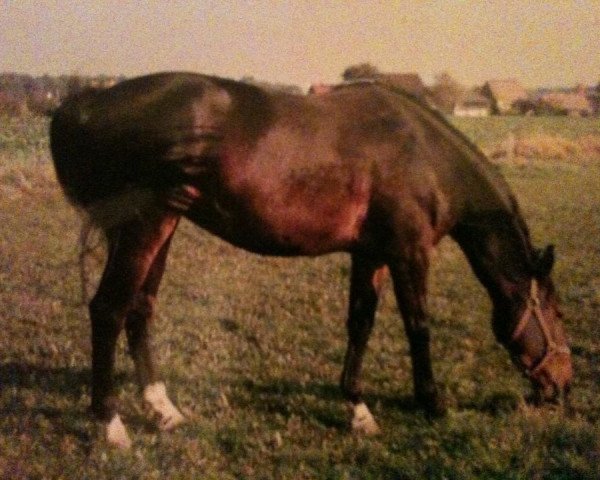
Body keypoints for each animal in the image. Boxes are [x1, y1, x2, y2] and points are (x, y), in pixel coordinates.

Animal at [48, 73, 572, 448]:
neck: (424, 155)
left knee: (140, 309)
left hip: (164, 223)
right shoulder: (409, 253)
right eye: (558, 312)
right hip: (146, 221)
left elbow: (360, 324)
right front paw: (433, 403)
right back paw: (112, 425)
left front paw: (358, 410)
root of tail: (88, 103)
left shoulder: (370, 254)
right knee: (109, 309)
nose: (562, 388)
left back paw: (163, 410)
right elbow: (418, 326)